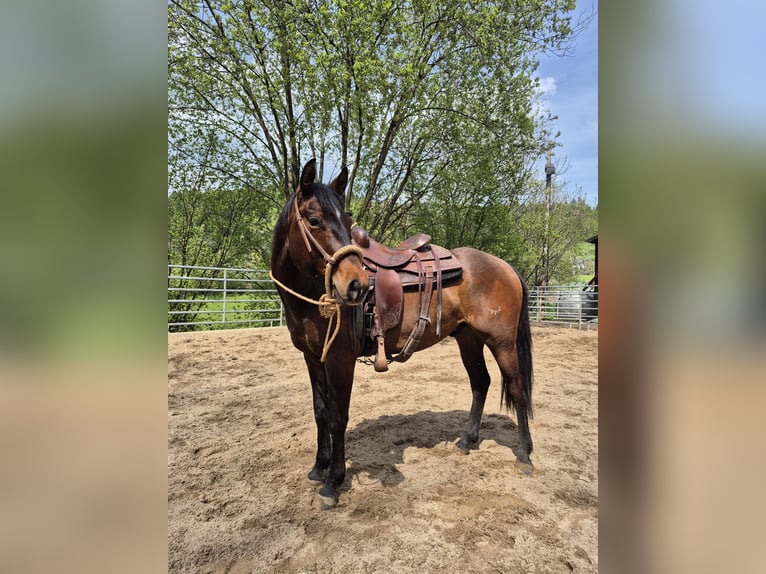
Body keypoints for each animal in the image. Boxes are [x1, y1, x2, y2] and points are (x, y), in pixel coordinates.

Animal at [270, 159, 534, 508]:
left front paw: (333, 482)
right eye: (314, 220)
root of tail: (504, 266)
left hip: (501, 342)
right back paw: (468, 440)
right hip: (469, 339)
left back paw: (525, 455)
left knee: (517, 389)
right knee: (481, 382)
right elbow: (321, 412)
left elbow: (339, 417)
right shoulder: (314, 358)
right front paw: (318, 467)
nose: (356, 284)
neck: (311, 297)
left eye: (347, 219)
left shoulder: (340, 360)